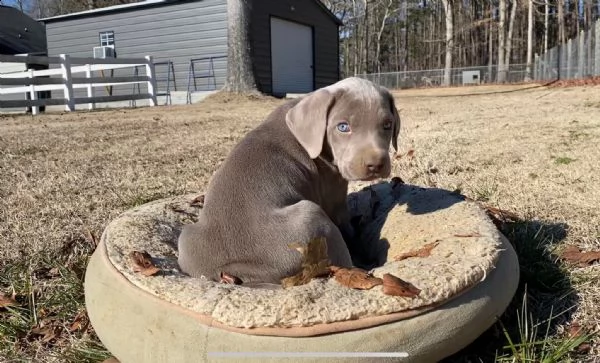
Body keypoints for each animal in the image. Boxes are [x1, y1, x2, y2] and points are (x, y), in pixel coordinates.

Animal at [178, 78, 404, 286]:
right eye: (342, 127)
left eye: (387, 125)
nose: (376, 165)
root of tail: (237, 268)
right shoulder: (334, 193)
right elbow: (346, 225)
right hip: (310, 215)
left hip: (186, 235)